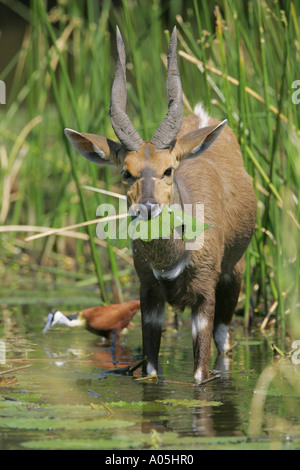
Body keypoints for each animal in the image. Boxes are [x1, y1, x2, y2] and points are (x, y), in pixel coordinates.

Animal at [65, 26, 255, 382]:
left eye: (168, 170)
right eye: (126, 172)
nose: (147, 208)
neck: (171, 262)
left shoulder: (205, 292)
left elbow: (200, 375)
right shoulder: (148, 292)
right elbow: (151, 370)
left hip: (233, 274)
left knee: (224, 342)